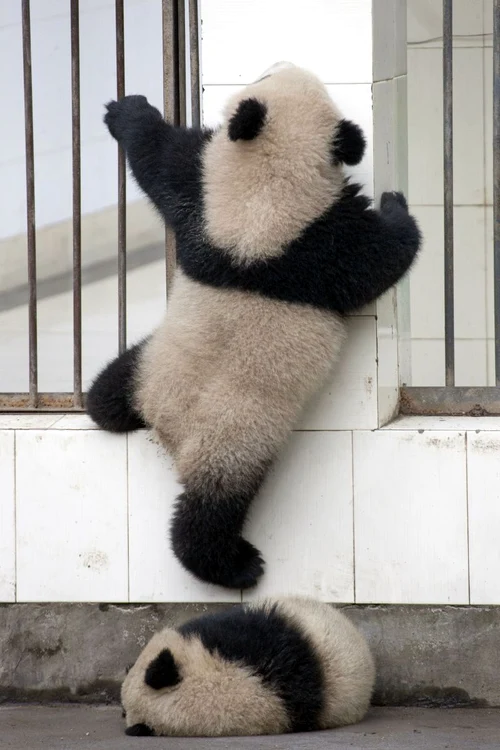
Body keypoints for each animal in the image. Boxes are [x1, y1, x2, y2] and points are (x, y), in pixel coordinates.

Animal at [87, 62, 421, 590]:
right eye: (269, 73)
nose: (283, 63)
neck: (264, 195)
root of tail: (166, 426)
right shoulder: (320, 245)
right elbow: (382, 257)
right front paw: (395, 206)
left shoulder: (204, 204)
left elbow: (162, 161)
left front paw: (127, 110)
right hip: (234, 441)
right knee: (210, 509)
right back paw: (235, 564)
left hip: (150, 362)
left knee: (110, 388)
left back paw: (106, 405)